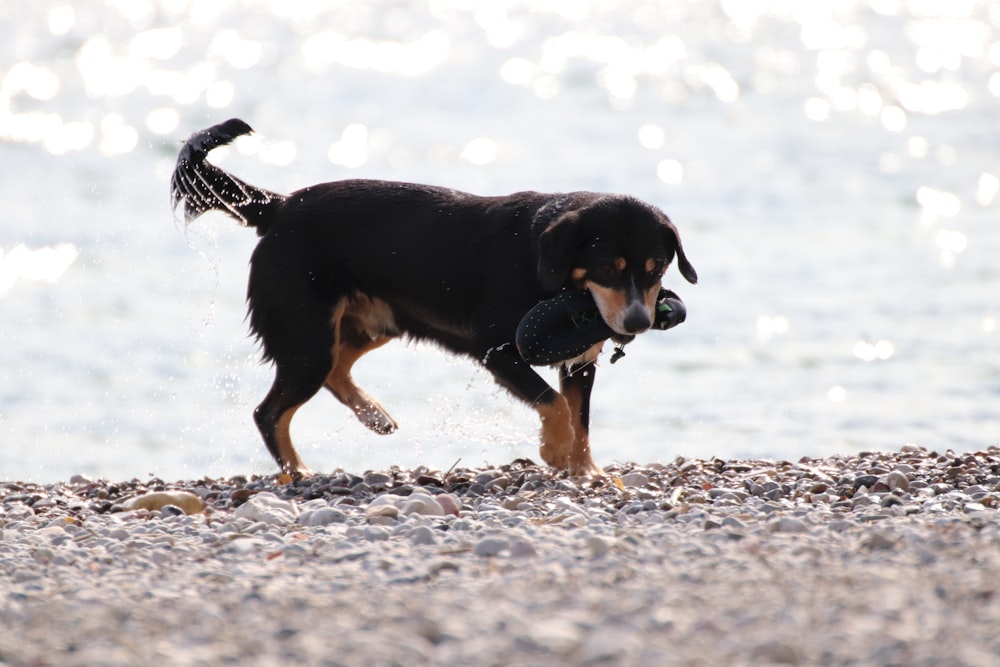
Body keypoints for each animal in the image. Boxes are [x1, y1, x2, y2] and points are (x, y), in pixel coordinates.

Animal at [170, 118, 696, 474]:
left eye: (657, 268)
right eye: (609, 268)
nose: (638, 322)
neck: (548, 266)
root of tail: (278, 208)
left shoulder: (580, 362)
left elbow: (580, 417)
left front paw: (586, 471)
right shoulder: (497, 350)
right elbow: (555, 405)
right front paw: (554, 450)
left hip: (375, 322)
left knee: (337, 372)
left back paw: (375, 416)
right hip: (307, 340)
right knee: (270, 411)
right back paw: (298, 469)